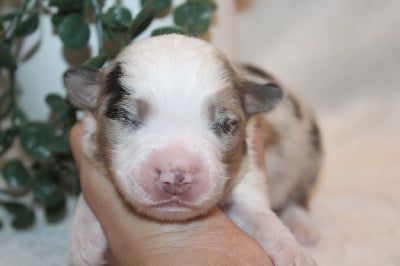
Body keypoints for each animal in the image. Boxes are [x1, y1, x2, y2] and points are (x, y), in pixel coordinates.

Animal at [65, 34, 322, 264]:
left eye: (225, 124)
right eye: (124, 116)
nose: (175, 177)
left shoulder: (250, 173)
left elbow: (260, 215)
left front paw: (294, 254)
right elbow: (87, 195)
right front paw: (83, 240)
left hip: (310, 155)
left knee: (300, 194)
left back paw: (302, 228)